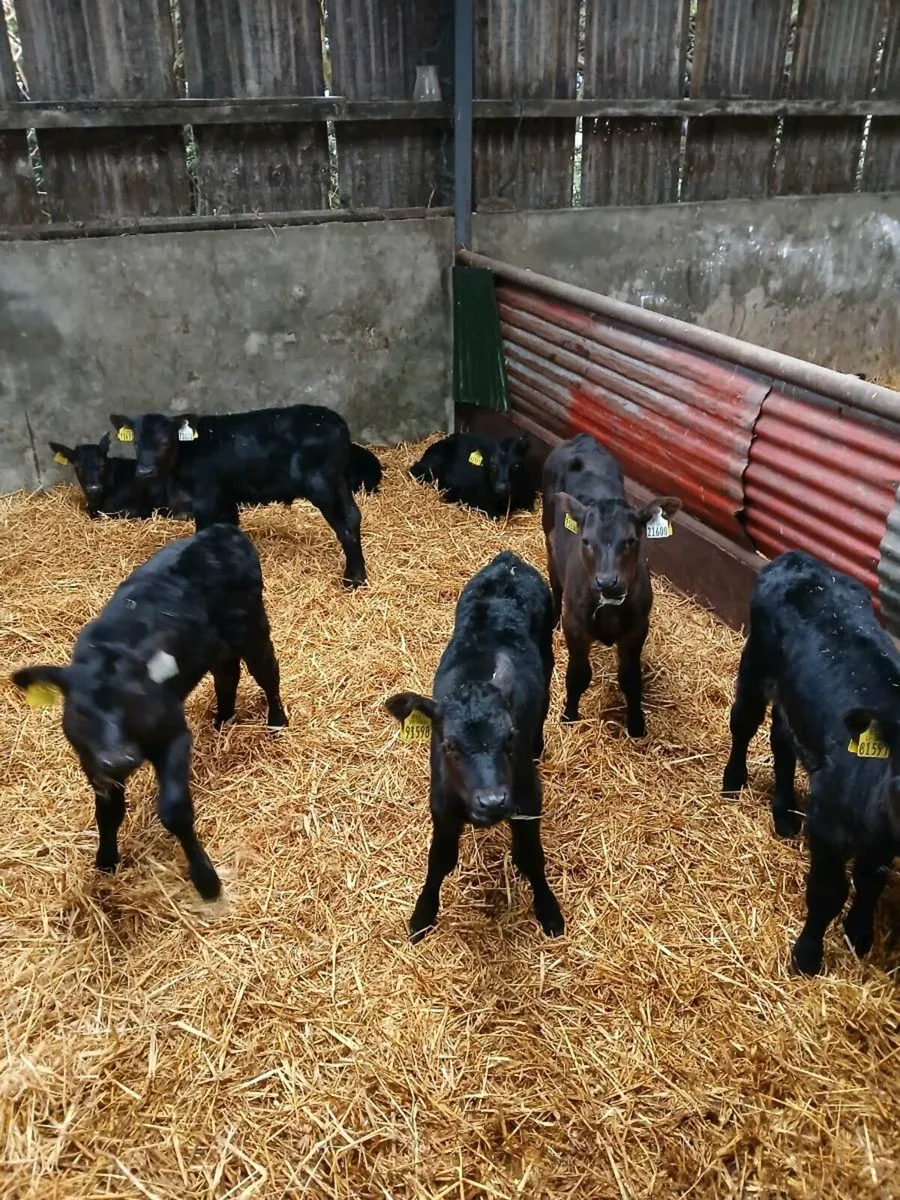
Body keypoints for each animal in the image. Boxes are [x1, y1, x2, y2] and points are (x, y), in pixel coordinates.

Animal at [11, 523, 287, 900]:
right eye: (83, 711)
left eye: (136, 700)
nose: (120, 758)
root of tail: (219, 531)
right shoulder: (91, 760)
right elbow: (108, 813)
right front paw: (106, 861)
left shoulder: (173, 735)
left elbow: (174, 811)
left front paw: (206, 880)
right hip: (215, 646)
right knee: (227, 673)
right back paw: (221, 721)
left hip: (253, 627)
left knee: (267, 672)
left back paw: (277, 722)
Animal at [110, 405, 366, 587]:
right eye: (135, 443)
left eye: (165, 442)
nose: (144, 471)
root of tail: (336, 421)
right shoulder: (226, 496)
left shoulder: (206, 497)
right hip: (337, 480)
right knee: (353, 516)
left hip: (320, 484)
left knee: (344, 526)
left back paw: (352, 580)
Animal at [385, 550, 563, 943]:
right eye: (449, 745)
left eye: (510, 737)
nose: (493, 801)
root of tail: (509, 561)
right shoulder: (441, 804)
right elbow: (439, 860)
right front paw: (422, 915)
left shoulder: (529, 797)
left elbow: (531, 856)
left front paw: (548, 909)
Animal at [543, 433, 681, 735]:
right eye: (585, 541)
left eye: (631, 540)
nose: (607, 580)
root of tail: (582, 439)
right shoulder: (575, 624)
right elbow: (578, 674)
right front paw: (569, 716)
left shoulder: (637, 627)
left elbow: (630, 678)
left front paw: (637, 725)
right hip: (548, 536)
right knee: (555, 581)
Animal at [722, 549, 900, 976]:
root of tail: (797, 558)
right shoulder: (828, 824)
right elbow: (827, 892)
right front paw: (807, 956)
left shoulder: (883, 839)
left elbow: (870, 882)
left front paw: (859, 934)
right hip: (755, 665)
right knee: (744, 722)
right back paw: (733, 781)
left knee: (782, 742)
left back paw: (785, 813)